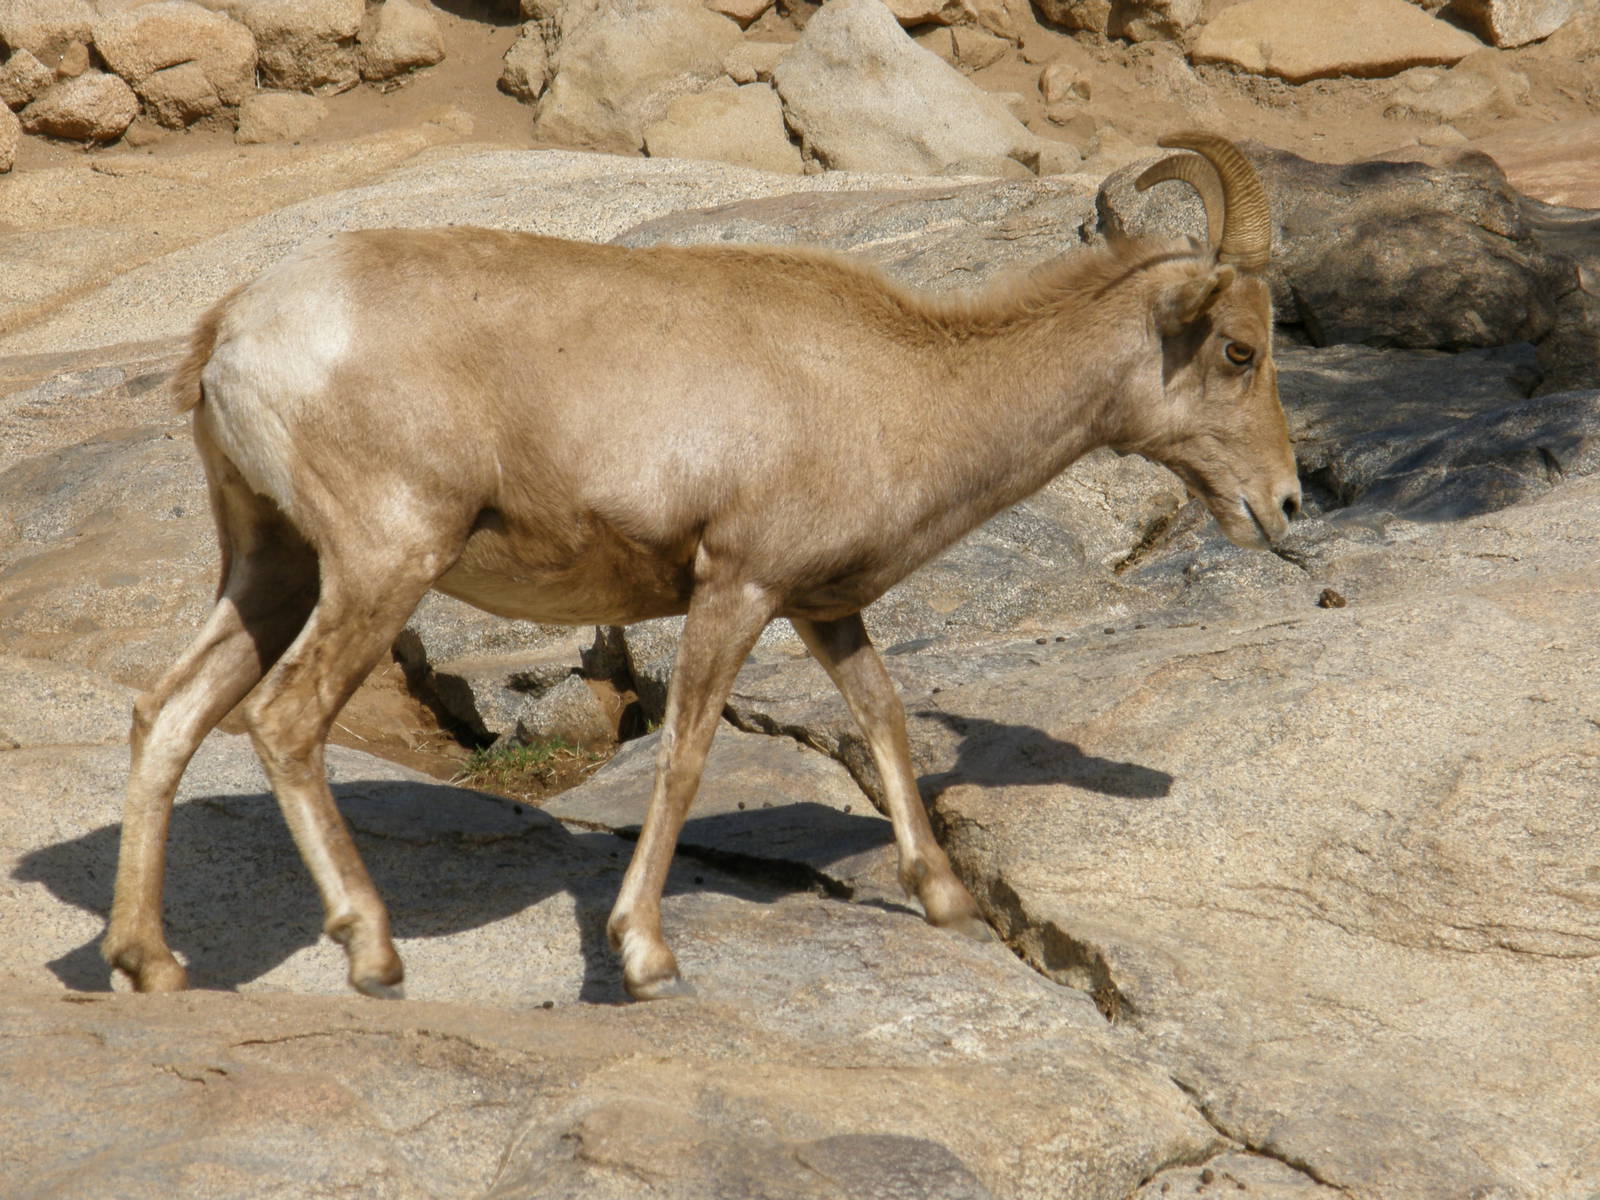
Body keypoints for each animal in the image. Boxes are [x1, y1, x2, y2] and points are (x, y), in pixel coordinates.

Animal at [103, 131, 1300, 1002]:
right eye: (1239, 349)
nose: (1284, 506)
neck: (902, 388)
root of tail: (232, 333)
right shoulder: (738, 588)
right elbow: (683, 756)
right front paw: (645, 957)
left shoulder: (823, 610)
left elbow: (884, 718)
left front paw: (946, 901)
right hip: (381, 562)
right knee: (283, 719)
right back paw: (373, 953)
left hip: (273, 567)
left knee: (169, 711)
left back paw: (148, 963)